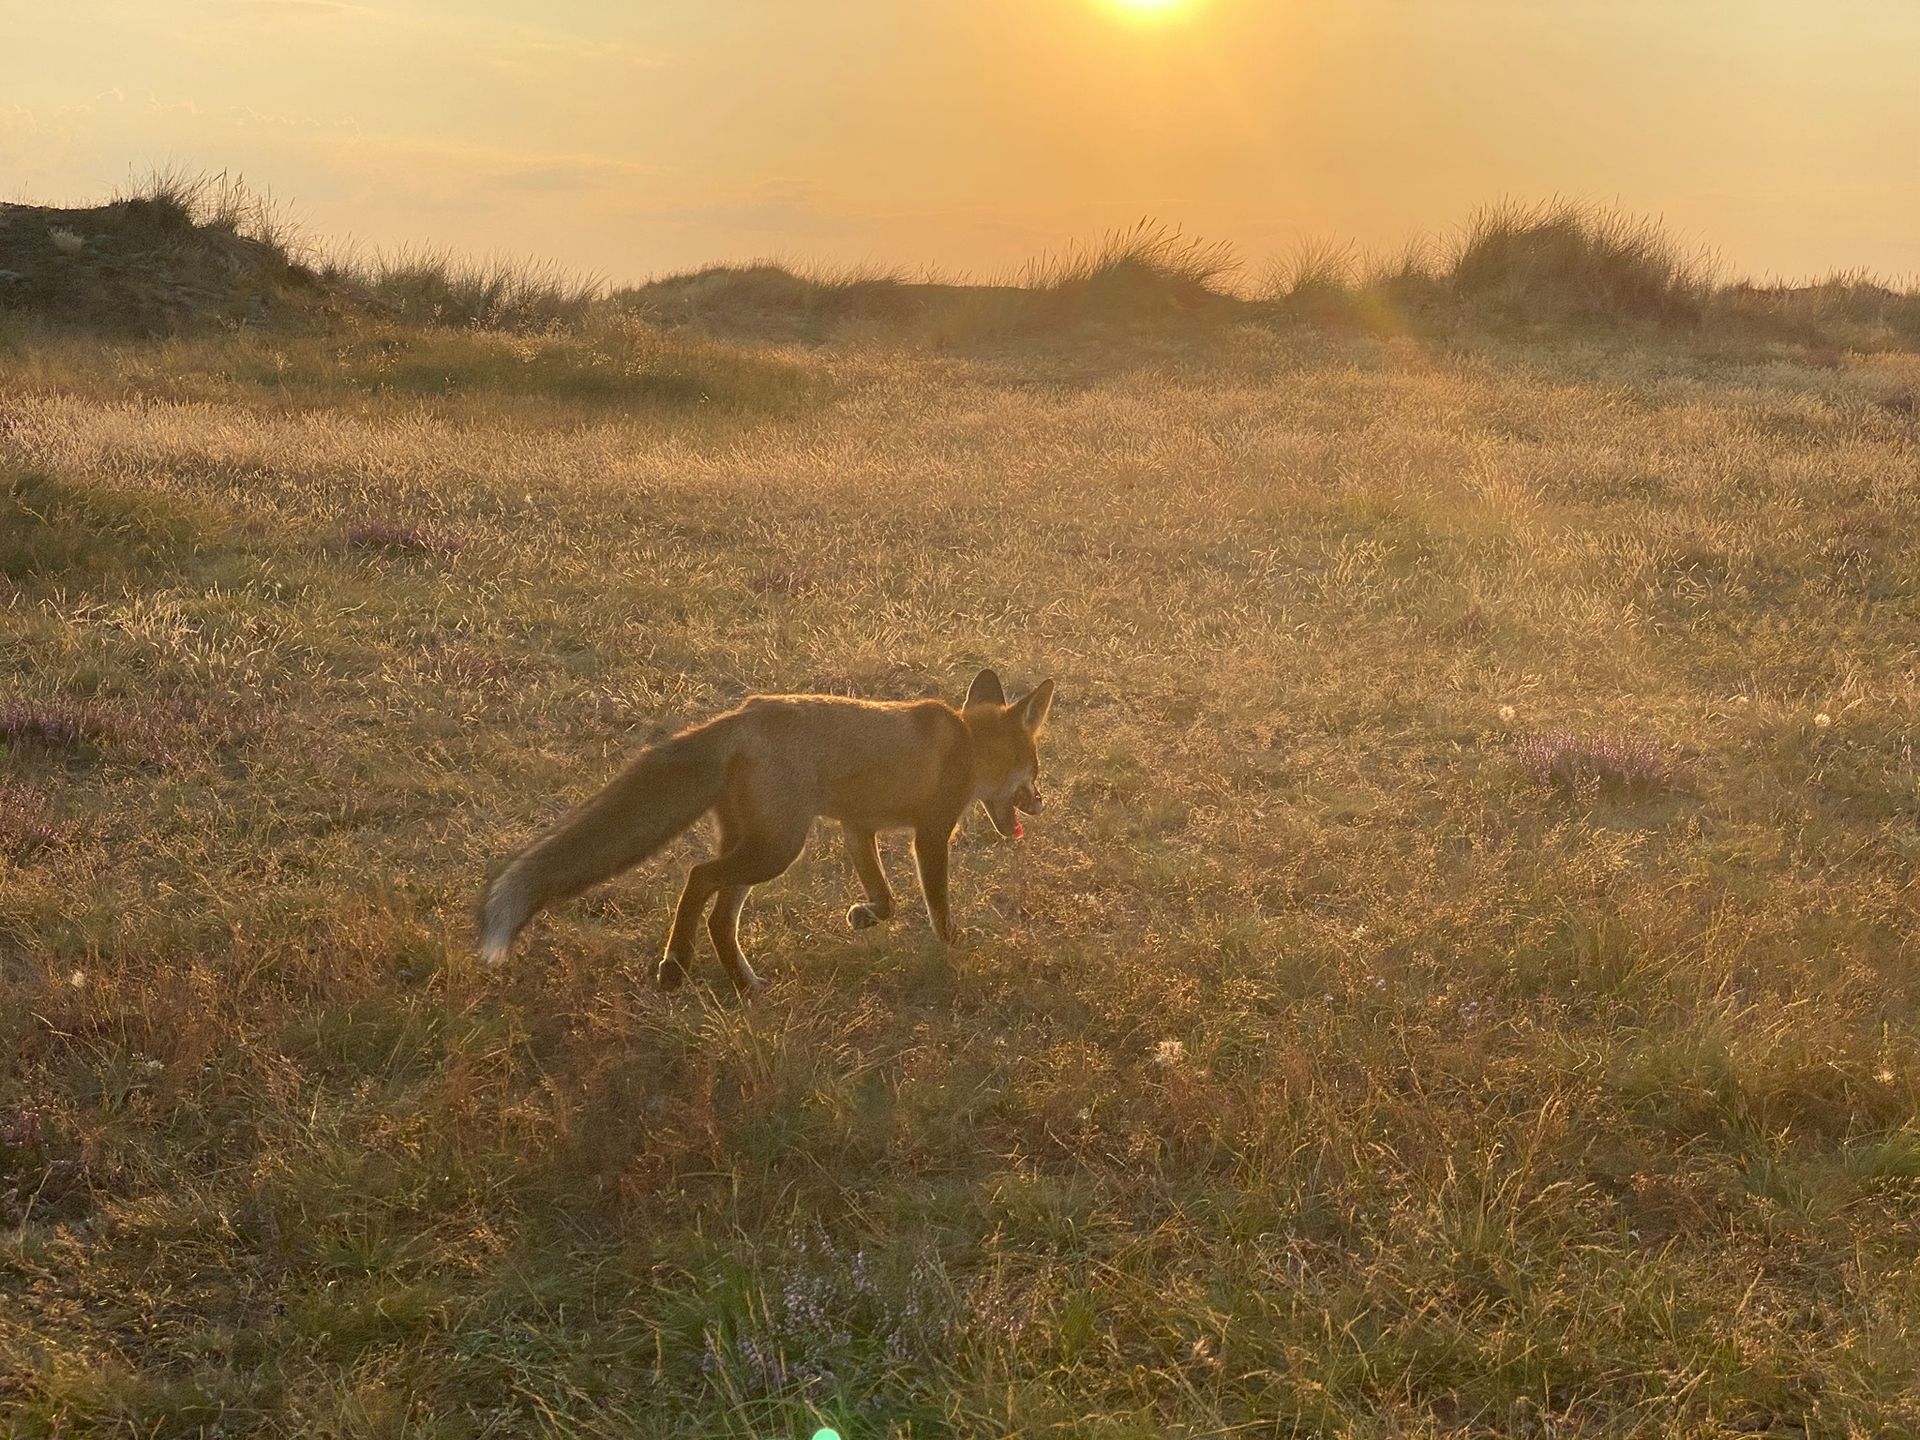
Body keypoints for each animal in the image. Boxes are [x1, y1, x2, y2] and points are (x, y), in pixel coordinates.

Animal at [477, 668, 1055, 992]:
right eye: (1035, 767)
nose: (1042, 802)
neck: (967, 742)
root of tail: (741, 715)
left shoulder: (857, 828)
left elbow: (887, 900)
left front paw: (864, 916)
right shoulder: (930, 835)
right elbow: (937, 906)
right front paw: (955, 946)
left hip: (756, 845)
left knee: (719, 917)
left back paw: (742, 983)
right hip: (777, 849)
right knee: (697, 876)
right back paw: (676, 965)